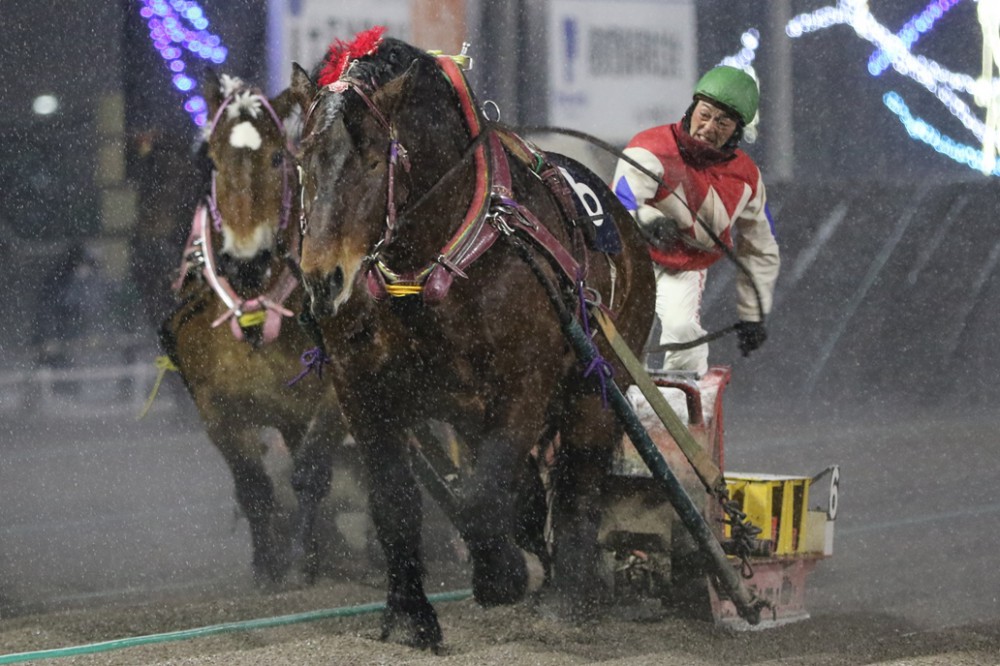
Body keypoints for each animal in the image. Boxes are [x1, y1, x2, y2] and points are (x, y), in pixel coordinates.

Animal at [160, 70, 356, 584]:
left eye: (277, 157)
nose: (246, 259)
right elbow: (254, 487)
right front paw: (269, 565)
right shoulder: (217, 409)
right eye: (211, 159)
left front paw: (309, 559)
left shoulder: (334, 396)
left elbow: (312, 471)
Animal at [290, 33, 656, 644]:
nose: (323, 279)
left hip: (595, 384)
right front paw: (409, 615)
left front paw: (501, 574)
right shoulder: (362, 391)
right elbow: (395, 502)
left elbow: (482, 495)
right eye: (304, 159)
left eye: (373, 160)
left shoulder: (526, 385)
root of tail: (627, 230)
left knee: (578, 477)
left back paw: (567, 594)